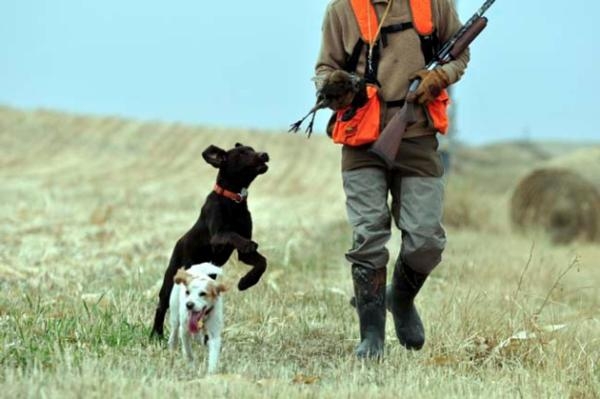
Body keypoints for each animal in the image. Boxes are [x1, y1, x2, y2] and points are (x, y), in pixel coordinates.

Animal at [150, 142, 270, 340]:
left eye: (252, 149)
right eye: (242, 153)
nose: (265, 155)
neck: (233, 200)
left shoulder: (244, 255)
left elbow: (262, 262)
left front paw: (246, 282)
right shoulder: (217, 238)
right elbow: (231, 234)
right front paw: (247, 245)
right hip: (171, 280)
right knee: (162, 306)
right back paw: (156, 335)